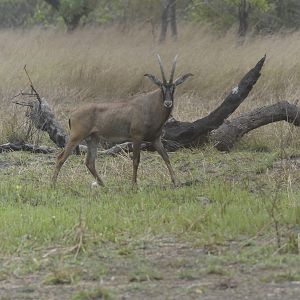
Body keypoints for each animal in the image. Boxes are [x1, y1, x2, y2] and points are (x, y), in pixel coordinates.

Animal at [51, 54, 192, 188]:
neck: (150, 105)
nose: (168, 103)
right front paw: (134, 185)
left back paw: (103, 184)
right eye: (161, 87)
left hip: (93, 139)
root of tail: (73, 114)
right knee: (61, 157)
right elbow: (136, 160)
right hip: (76, 137)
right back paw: (53, 184)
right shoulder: (137, 137)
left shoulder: (155, 139)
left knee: (90, 162)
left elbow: (166, 157)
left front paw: (176, 182)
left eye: (173, 87)